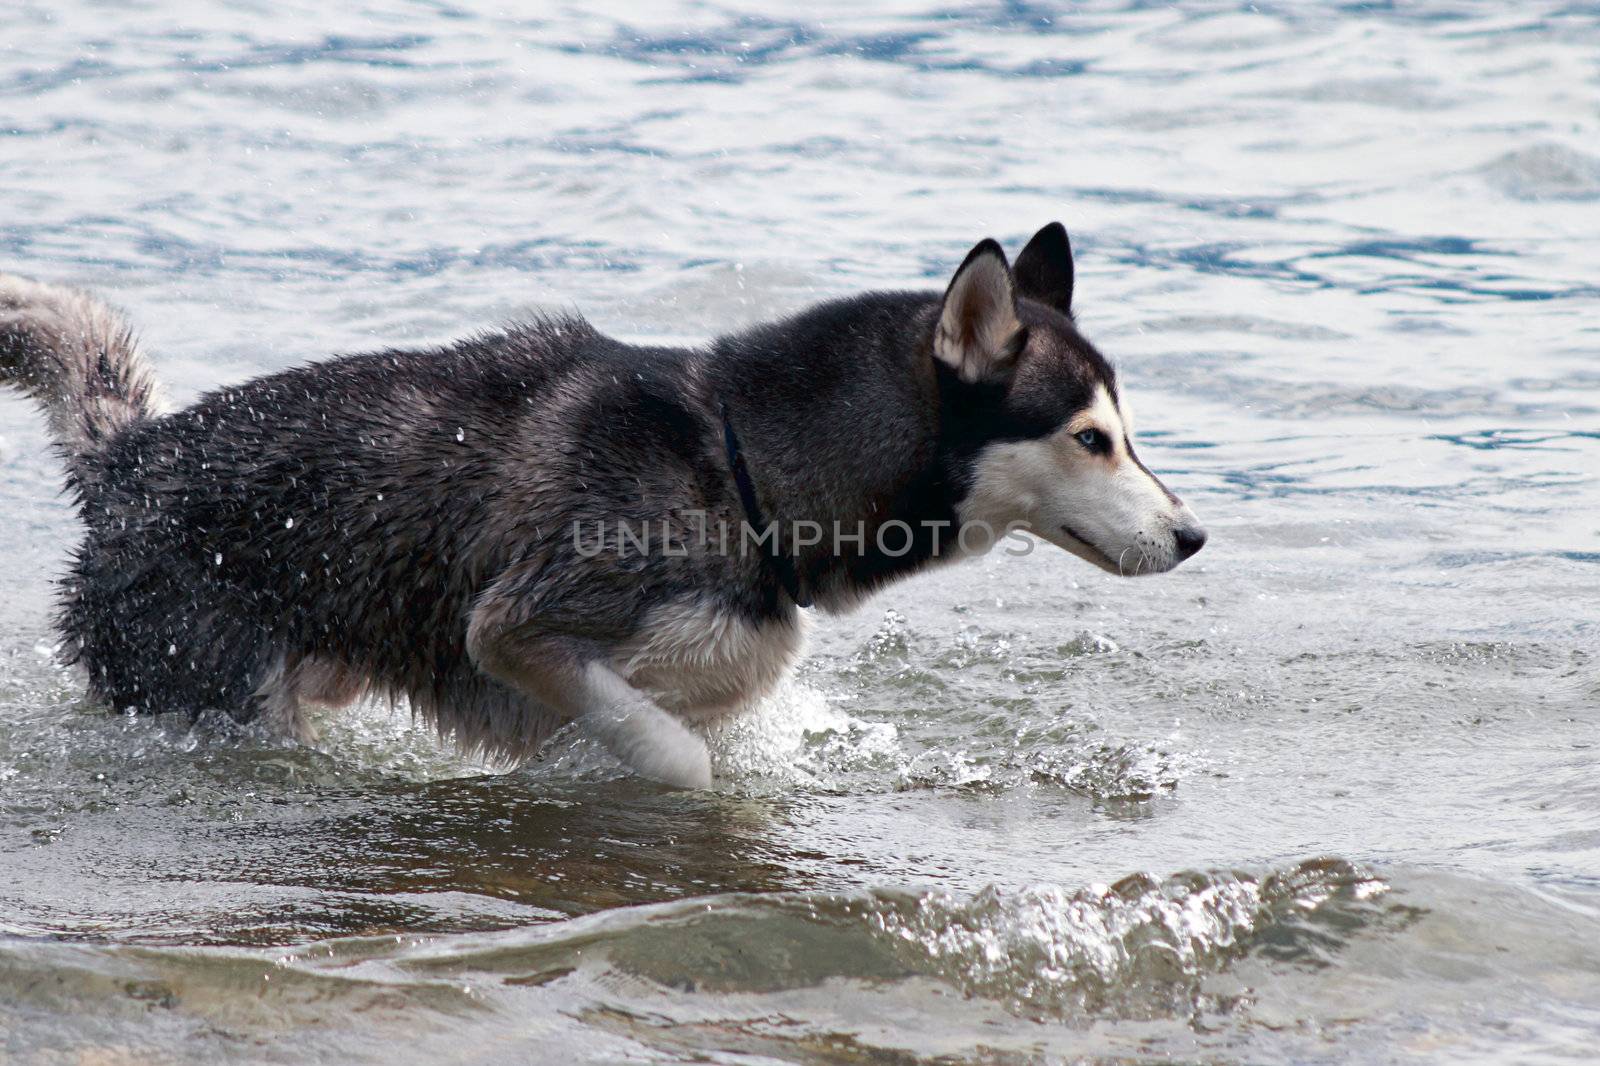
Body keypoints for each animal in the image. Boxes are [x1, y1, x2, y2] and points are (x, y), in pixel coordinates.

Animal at [0, 224, 1203, 784]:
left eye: (1129, 431)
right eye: (1090, 439)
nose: (1192, 535)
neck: (742, 470)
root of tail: (134, 455)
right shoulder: (513, 628)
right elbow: (674, 757)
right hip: (223, 698)